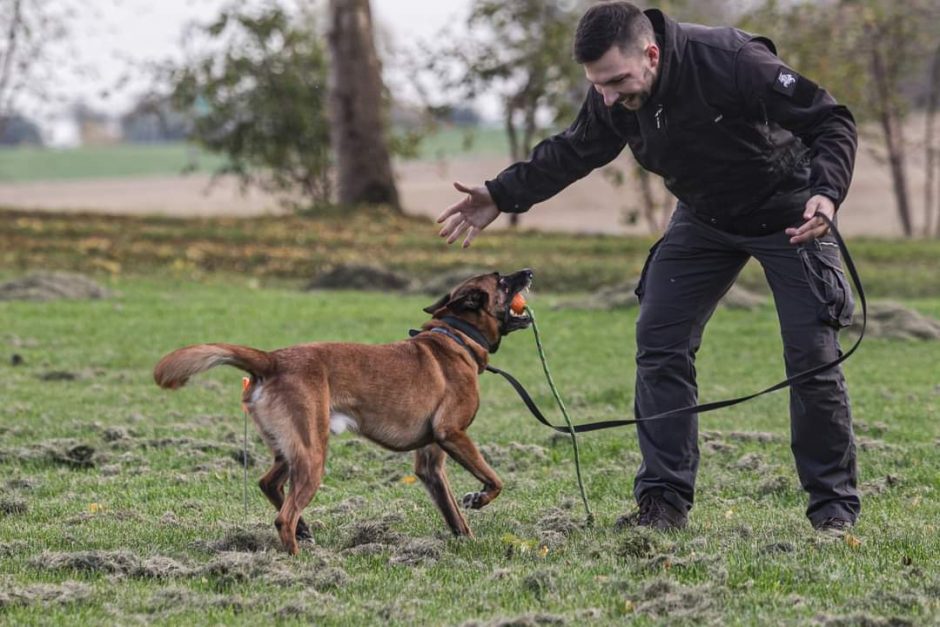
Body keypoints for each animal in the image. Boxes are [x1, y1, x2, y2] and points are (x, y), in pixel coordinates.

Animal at [158, 270, 532, 556]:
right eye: (502, 280)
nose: (528, 272)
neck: (456, 337)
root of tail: (273, 359)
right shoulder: (452, 434)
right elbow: (495, 480)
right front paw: (479, 498)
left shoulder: (430, 463)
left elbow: (454, 515)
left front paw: (466, 541)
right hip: (312, 453)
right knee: (283, 516)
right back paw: (298, 559)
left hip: (293, 448)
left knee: (269, 484)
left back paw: (305, 531)